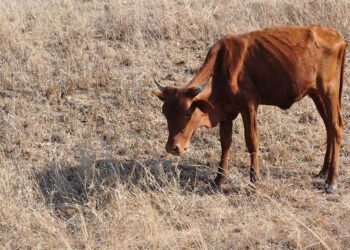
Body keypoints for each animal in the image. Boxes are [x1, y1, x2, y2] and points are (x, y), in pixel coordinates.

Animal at [154, 25, 346, 193]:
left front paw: (254, 179)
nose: (172, 147)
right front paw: (219, 179)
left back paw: (332, 181)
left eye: (187, 113)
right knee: (328, 127)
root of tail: (336, 35)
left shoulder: (249, 106)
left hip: (328, 92)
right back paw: (323, 172)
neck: (223, 66)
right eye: (165, 114)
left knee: (336, 128)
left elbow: (252, 141)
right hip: (316, 95)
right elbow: (225, 143)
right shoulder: (226, 114)